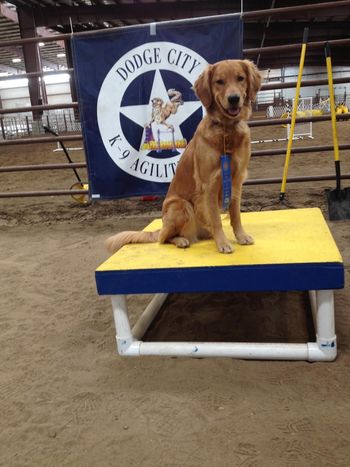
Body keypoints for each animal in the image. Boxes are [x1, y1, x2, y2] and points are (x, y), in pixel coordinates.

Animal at [106, 60, 262, 256]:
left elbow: (235, 214)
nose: (233, 98)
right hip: (181, 205)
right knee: (163, 238)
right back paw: (181, 240)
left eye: (240, 78)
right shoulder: (209, 184)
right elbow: (216, 219)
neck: (226, 131)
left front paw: (241, 236)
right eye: (219, 81)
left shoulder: (236, 180)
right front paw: (223, 243)